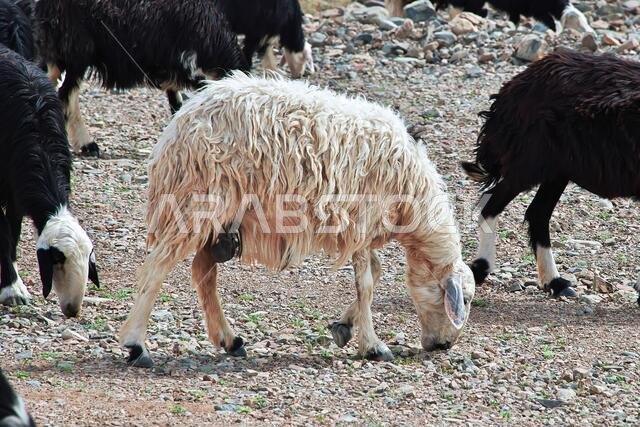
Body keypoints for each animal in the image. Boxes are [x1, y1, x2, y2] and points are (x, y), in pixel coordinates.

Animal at [0, 45, 99, 316]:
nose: (72, 310)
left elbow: (14, 230)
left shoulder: (16, 190)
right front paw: (12, 288)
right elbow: (4, 231)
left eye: (88, 260)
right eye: (56, 259)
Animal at [119, 72, 476, 367]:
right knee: (157, 267)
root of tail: (179, 123)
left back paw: (229, 340)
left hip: (218, 214)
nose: (444, 346)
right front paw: (373, 345)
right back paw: (137, 345)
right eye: (465, 299)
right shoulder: (360, 220)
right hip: (197, 199)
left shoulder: (362, 229)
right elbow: (367, 282)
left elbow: (373, 274)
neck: (411, 196)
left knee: (202, 270)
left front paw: (345, 326)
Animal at [462, 48, 640, 304]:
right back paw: (482, 267)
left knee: (536, 213)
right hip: (531, 160)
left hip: (556, 170)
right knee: (493, 204)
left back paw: (554, 282)